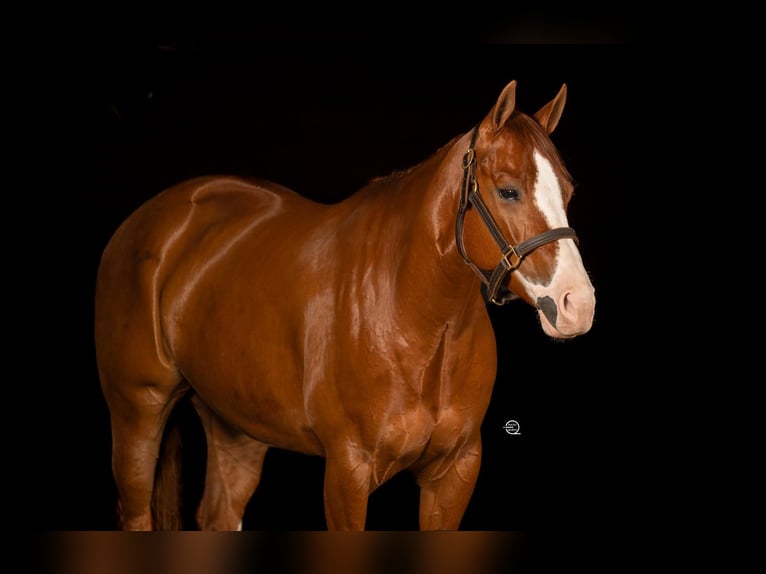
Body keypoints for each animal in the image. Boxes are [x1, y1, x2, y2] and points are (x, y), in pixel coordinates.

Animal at [94, 79, 596, 531]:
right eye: (509, 190)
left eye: (569, 191)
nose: (578, 305)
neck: (412, 315)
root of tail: (153, 218)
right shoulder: (347, 470)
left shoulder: (455, 471)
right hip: (137, 410)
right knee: (136, 512)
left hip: (235, 425)